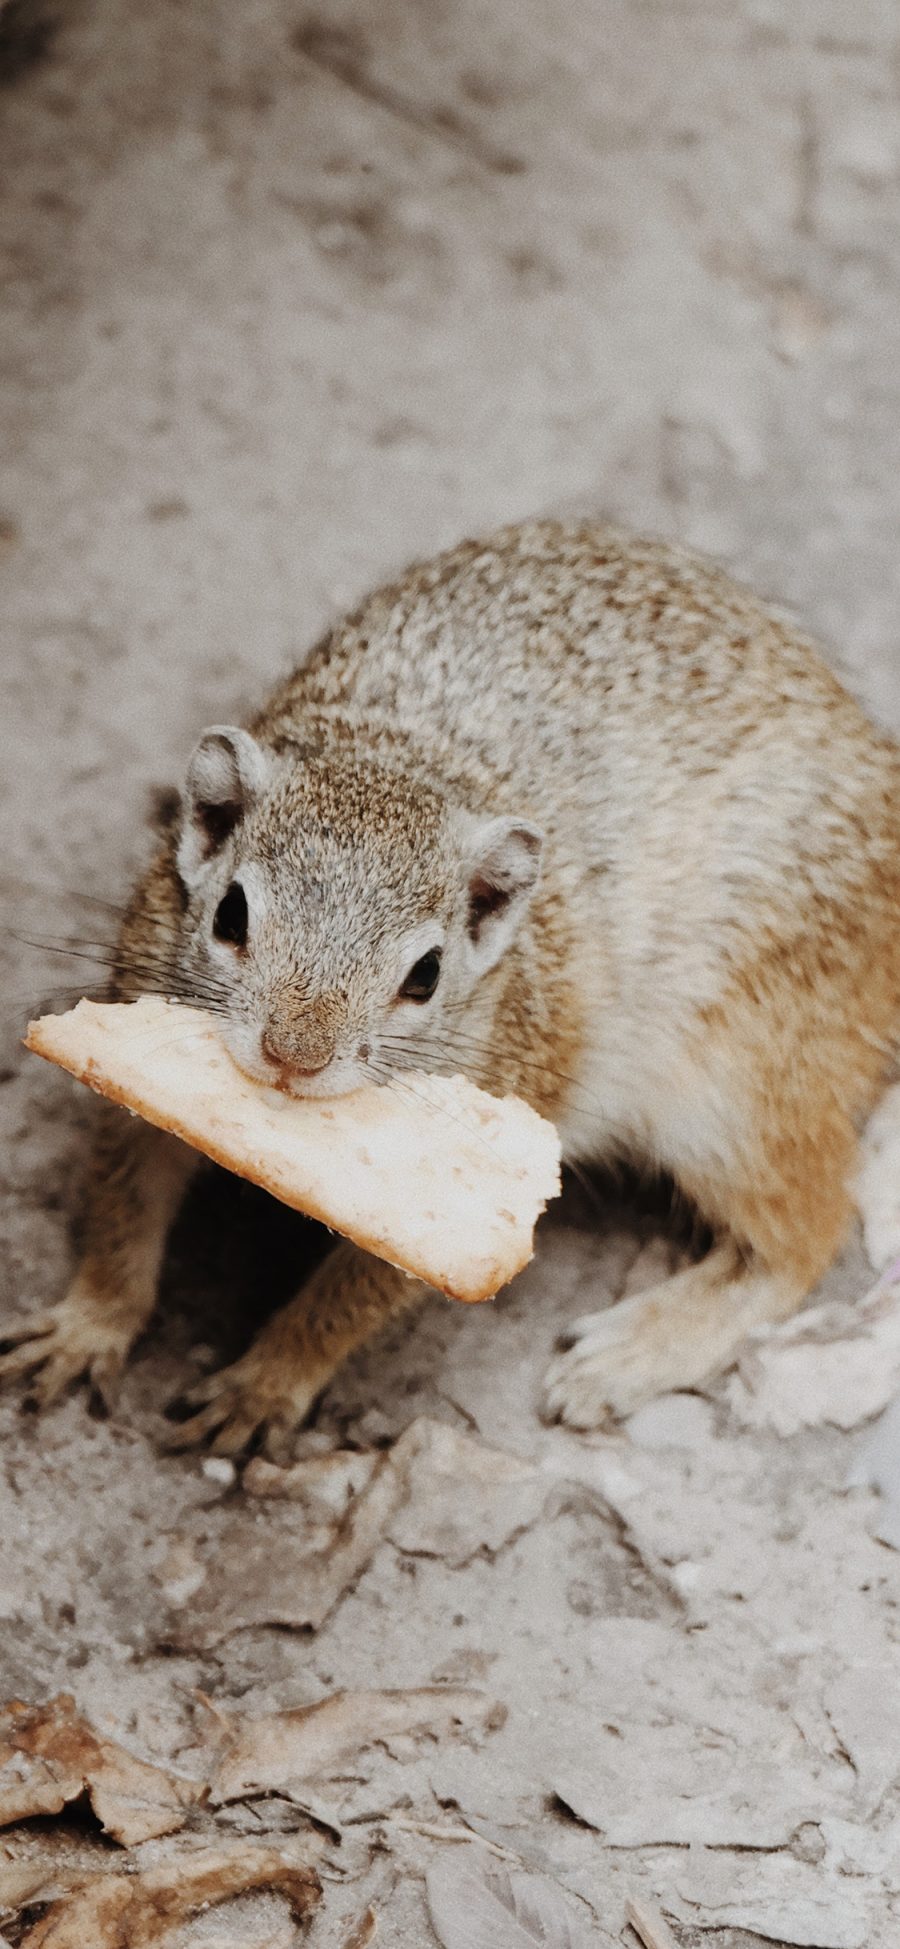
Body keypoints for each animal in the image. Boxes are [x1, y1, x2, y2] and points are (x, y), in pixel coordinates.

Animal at [5, 518, 900, 1450]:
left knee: (806, 1233)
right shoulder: (137, 1032)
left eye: (426, 975)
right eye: (231, 914)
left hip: (744, 1088)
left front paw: (266, 1381)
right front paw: (90, 1322)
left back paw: (625, 1355)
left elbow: (358, 1292)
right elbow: (125, 1198)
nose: (293, 1054)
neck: (412, 759)